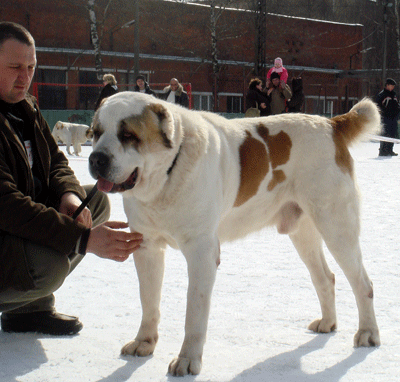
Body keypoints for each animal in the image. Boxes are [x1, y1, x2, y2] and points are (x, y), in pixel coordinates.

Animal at [88, 92, 382, 376]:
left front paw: (187, 360)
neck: (167, 174)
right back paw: (328, 323)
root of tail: (332, 124)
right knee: (325, 278)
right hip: (304, 234)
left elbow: (194, 310)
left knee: (363, 284)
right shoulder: (146, 248)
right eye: (96, 132)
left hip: (336, 227)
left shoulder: (202, 253)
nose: (96, 159)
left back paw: (368, 333)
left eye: (128, 135)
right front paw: (144, 342)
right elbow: (148, 301)